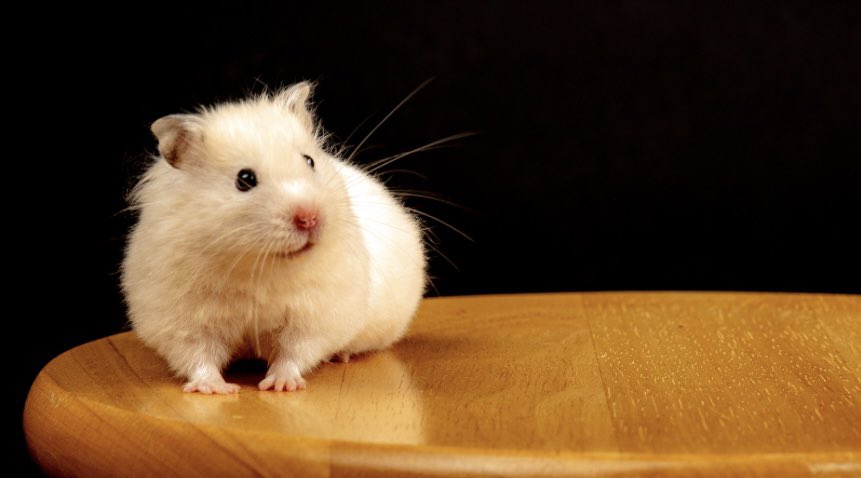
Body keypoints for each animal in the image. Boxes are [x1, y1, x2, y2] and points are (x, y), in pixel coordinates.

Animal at [121, 82, 426, 394]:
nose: (310, 218)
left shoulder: (314, 315)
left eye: (309, 161)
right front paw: (217, 389)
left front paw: (280, 385)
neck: (258, 264)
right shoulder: (182, 320)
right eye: (244, 179)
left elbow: (294, 352)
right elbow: (197, 356)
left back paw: (340, 355)